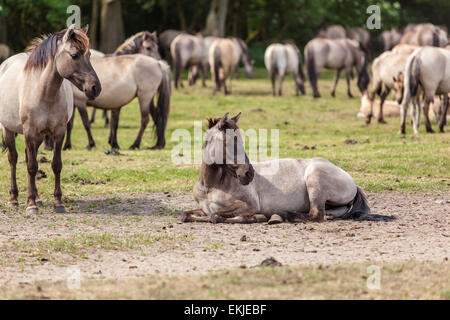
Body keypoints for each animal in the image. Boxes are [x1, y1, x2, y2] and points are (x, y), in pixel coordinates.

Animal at [0, 25, 100, 214]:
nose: (95, 88)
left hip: (39, 136)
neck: (44, 92)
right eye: (74, 55)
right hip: (9, 130)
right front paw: (30, 205)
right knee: (13, 159)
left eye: (90, 54)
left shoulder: (58, 132)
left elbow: (55, 165)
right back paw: (14, 199)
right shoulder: (29, 131)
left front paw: (57, 203)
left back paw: (37, 198)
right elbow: (32, 166)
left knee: (27, 158)